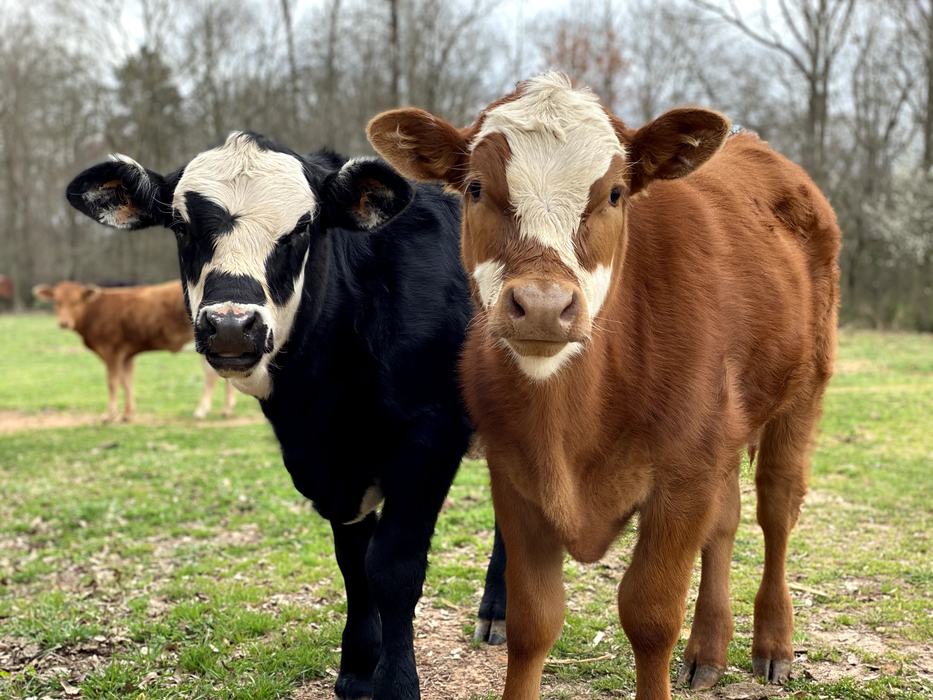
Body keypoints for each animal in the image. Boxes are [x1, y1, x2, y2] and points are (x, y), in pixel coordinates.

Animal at [33, 280, 236, 422]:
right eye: (57, 302)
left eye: (76, 301)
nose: (64, 322)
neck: (95, 312)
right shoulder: (126, 354)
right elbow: (127, 382)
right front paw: (128, 414)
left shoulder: (111, 350)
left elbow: (113, 383)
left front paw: (109, 415)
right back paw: (226, 409)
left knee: (210, 375)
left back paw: (202, 411)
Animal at [64, 132, 507, 700]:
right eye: (182, 227)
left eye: (301, 228)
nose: (232, 325)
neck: (325, 400)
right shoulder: (330, 467)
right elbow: (353, 563)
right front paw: (359, 667)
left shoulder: (431, 435)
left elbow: (393, 567)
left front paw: (395, 683)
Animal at [368, 72, 841, 700]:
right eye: (474, 187)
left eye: (615, 193)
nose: (544, 306)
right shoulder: (514, 477)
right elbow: (533, 620)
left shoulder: (681, 480)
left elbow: (650, 616)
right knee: (725, 523)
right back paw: (707, 648)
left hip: (802, 395)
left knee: (776, 513)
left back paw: (773, 642)